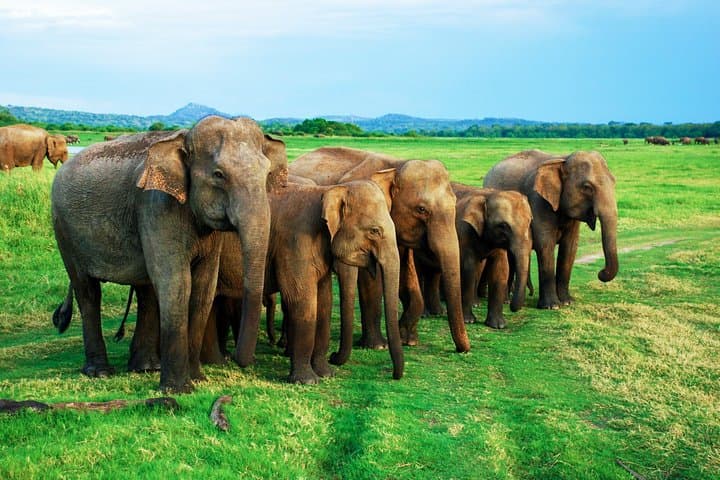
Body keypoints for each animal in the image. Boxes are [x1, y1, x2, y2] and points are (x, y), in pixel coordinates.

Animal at [50, 115, 287, 393]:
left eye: (267, 173)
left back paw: (145, 368)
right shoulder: (156, 205)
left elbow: (204, 288)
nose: (238, 361)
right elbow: (177, 283)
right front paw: (178, 389)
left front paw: (197, 379)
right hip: (64, 231)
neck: (183, 138)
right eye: (219, 175)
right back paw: (100, 372)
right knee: (87, 291)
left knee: (146, 291)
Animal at [197, 178, 403, 383]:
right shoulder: (295, 242)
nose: (395, 376)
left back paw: (215, 362)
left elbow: (325, 302)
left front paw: (326, 373)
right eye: (375, 231)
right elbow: (301, 301)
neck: (328, 191)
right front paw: (307, 380)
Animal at [289, 147, 471, 357]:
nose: (462, 350)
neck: (396, 166)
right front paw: (378, 346)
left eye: (455, 202)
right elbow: (371, 279)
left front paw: (408, 339)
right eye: (421, 209)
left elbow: (405, 272)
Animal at [414, 184, 533, 329]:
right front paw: (469, 321)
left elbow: (500, 269)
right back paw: (424, 314)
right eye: (503, 225)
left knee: (434, 274)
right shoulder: (463, 231)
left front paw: (498, 325)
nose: (511, 307)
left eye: (529, 222)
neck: (488, 196)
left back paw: (437, 312)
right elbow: (468, 269)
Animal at [483, 150, 618, 310]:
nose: (601, 273)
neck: (563, 159)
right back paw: (505, 301)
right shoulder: (538, 201)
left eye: (614, 181)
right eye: (587, 187)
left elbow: (570, 247)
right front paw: (552, 306)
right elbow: (545, 244)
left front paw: (567, 302)